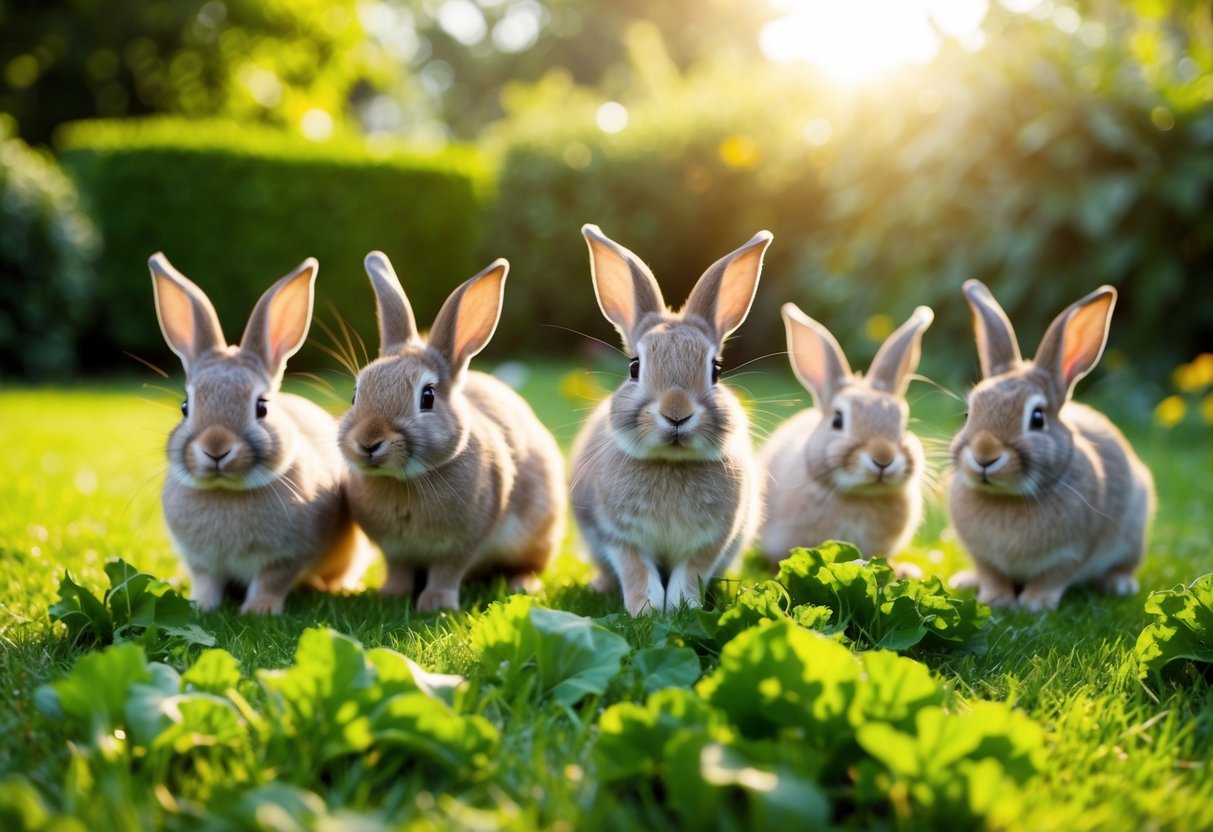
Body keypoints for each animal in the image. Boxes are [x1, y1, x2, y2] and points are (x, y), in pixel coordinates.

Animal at [151, 253, 369, 615]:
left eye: (262, 406)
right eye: (185, 406)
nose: (216, 448)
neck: (226, 492)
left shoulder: (286, 557)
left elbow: (271, 581)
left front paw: (259, 610)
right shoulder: (201, 562)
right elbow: (206, 581)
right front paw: (201, 605)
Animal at [338, 251, 566, 612]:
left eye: (427, 397)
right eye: (355, 395)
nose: (368, 442)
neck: (405, 481)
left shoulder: (463, 543)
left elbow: (448, 570)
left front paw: (436, 604)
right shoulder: (395, 550)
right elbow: (399, 569)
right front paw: (392, 594)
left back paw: (522, 584)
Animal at [570, 224, 772, 616]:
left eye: (716, 370)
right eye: (634, 367)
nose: (676, 413)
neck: (670, 462)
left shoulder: (711, 542)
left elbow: (690, 573)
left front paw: (682, 608)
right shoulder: (618, 537)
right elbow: (637, 572)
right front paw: (645, 610)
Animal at [948, 279, 1155, 611]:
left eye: (1037, 418)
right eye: (969, 414)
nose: (984, 456)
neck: (1007, 498)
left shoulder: (1071, 554)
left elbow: (1051, 578)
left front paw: (1035, 604)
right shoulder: (983, 558)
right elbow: (992, 574)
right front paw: (995, 599)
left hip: (1134, 531)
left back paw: (1119, 585)